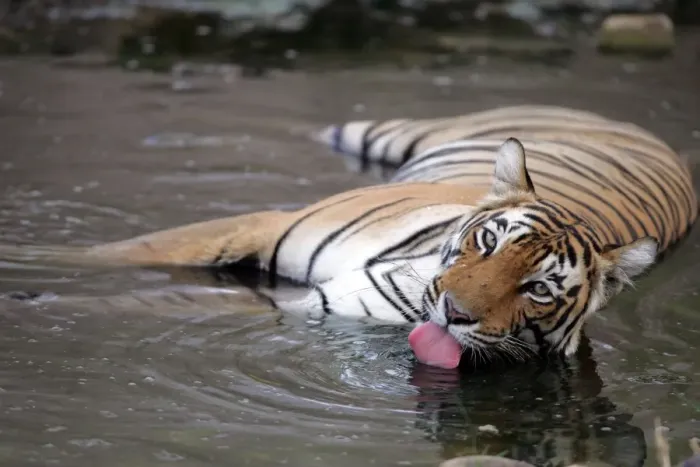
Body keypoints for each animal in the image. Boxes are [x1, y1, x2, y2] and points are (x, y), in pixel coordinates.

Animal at [2, 105, 696, 369]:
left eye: (539, 290)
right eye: (490, 242)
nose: (454, 312)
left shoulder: (307, 304)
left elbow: (146, 301)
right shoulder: (264, 226)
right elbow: (119, 254)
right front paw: (24, 262)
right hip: (395, 134)